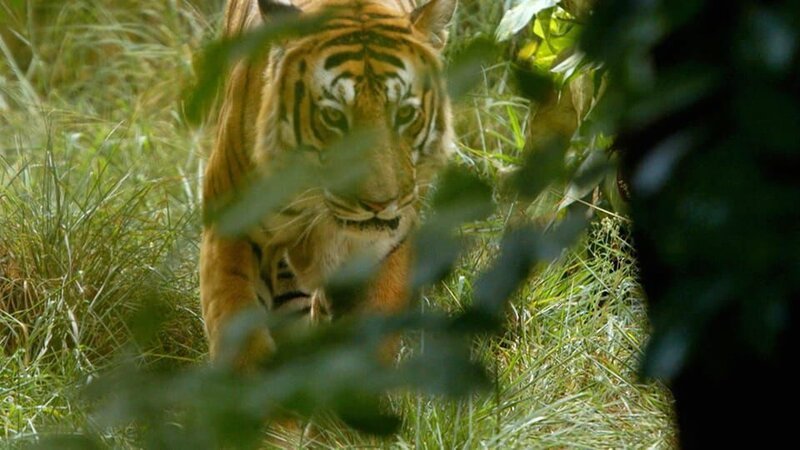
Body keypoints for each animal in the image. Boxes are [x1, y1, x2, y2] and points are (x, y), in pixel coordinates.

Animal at [200, 0, 457, 365]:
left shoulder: (387, 248)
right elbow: (238, 329)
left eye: (405, 114)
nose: (379, 204)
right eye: (333, 117)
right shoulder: (231, 228)